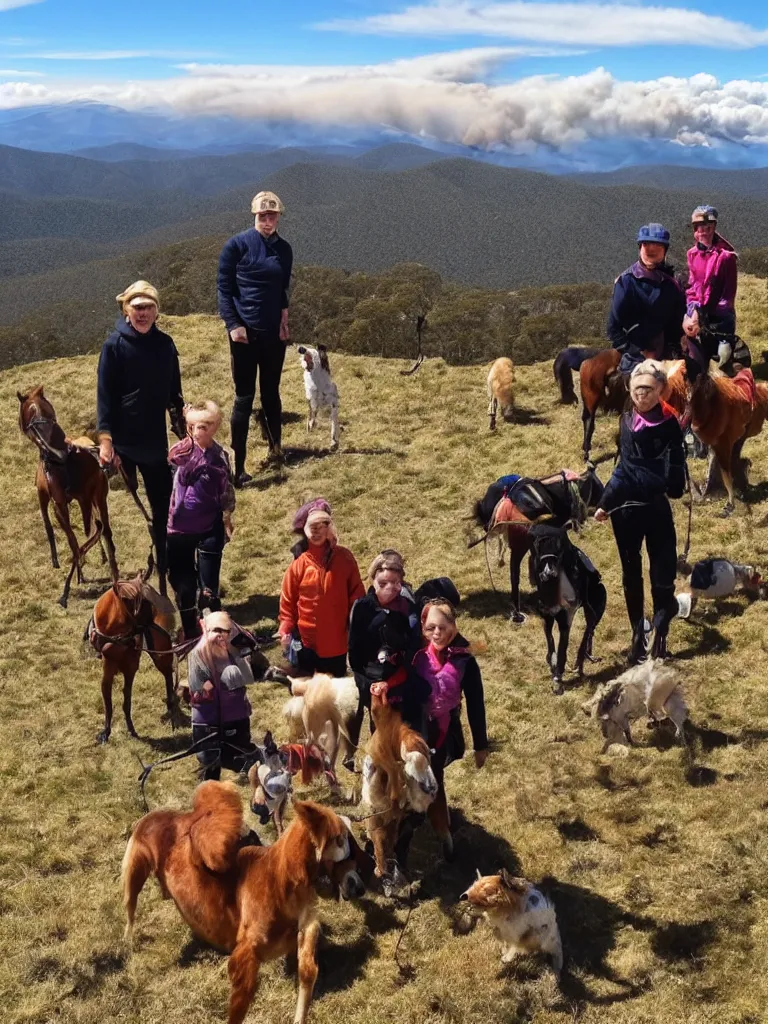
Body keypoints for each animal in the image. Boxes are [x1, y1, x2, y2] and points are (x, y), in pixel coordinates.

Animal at [18, 385, 118, 606]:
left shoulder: (50, 500)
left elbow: (57, 533)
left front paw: (66, 582)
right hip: (98, 500)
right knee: (103, 531)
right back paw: (112, 573)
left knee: (91, 534)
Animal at [87, 569, 179, 745]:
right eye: (137, 607)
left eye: (147, 603)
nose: (151, 623)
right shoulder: (108, 668)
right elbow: (108, 701)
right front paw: (106, 732)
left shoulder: (130, 668)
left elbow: (126, 700)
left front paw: (131, 729)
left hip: (159, 657)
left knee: (168, 674)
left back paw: (171, 704)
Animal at [121, 782, 370, 1024]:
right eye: (344, 840)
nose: (359, 886)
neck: (281, 881)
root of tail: (151, 814)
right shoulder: (247, 953)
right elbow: (240, 1005)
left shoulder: (307, 926)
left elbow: (308, 970)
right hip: (134, 873)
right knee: (130, 909)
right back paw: (128, 943)